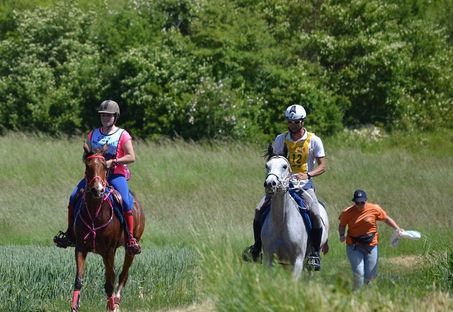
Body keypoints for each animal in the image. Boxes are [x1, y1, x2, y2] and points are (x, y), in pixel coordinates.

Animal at [70, 144, 145, 312]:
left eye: (105, 166)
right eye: (88, 166)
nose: (97, 190)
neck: (94, 215)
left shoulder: (109, 251)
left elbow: (110, 282)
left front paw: (111, 306)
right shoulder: (80, 248)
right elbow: (79, 279)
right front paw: (74, 306)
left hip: (130, 248)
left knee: (123, 275)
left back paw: (115, 302)